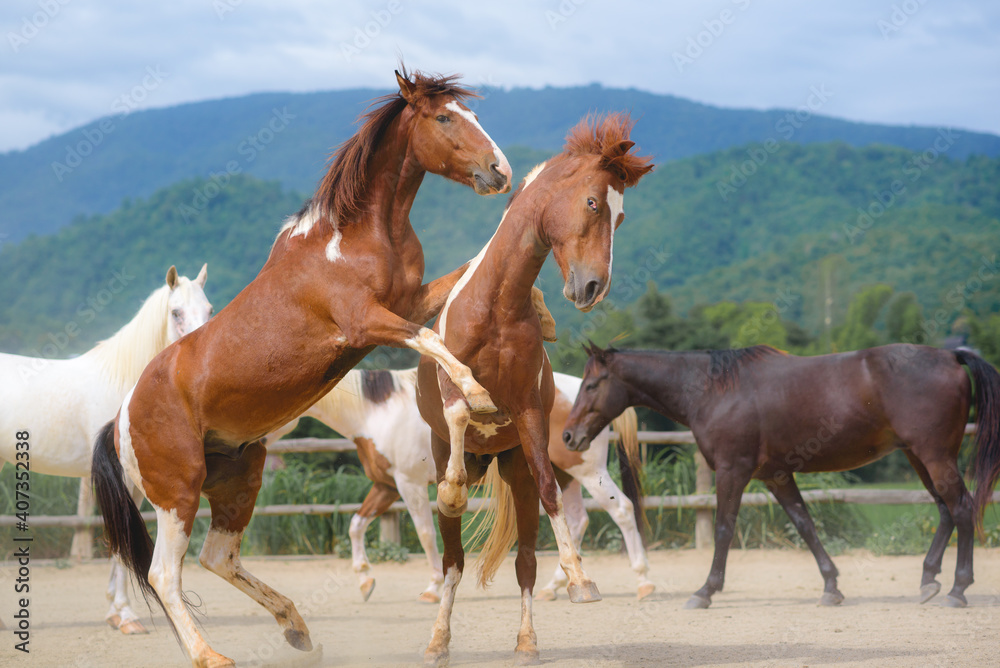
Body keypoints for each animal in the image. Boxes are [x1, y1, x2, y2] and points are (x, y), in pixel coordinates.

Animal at [92, 69, 516, 668]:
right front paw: (479, 399)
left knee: (218, 557)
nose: (499, 171)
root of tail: (122, 418)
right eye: (443, 117)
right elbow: (435, 343)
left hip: (239, 477)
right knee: (164, 574)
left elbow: (455, 292)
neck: (353, 237)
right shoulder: (367, 323)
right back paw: (212, 655)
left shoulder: (409, 305)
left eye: (470, 113)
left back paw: (297, 630)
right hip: (177, 493)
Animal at [268, 368, 656, 604]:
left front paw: (431, 588)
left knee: (621, 510)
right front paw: (365, 581)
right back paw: (555, 586)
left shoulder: (409, 485)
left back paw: (643, 582)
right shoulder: (386, 486)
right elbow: (355, 525)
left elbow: (425, 534)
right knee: (576, 520)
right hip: (563, 475)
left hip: (589, 471)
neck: (378, 413)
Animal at [416, 113, 656, 664]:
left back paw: (528, 640)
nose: (592, 288)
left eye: (622, 217)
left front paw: (579, 579)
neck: (497, 305)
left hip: (517, 471)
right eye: (592, 203)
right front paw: (455, 486)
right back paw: (437, 640)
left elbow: (551, 495)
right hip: (451, 462)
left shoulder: (528, 417)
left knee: (526, 558)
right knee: (453, 562)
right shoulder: (450, 388)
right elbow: (461, 410)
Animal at [564, 344, 1000, 612]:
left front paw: (705, 591)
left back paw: (958, 589)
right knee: (945, 510)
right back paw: (928, 581)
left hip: (934, 456)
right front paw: (831, 587)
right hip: (919, 457)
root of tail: (951, 355)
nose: (568, 436)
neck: (712, 390)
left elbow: (724, 529)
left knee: (961, 508)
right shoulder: (776, 476)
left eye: (592, 384)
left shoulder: (733, 471)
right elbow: (804, 525)